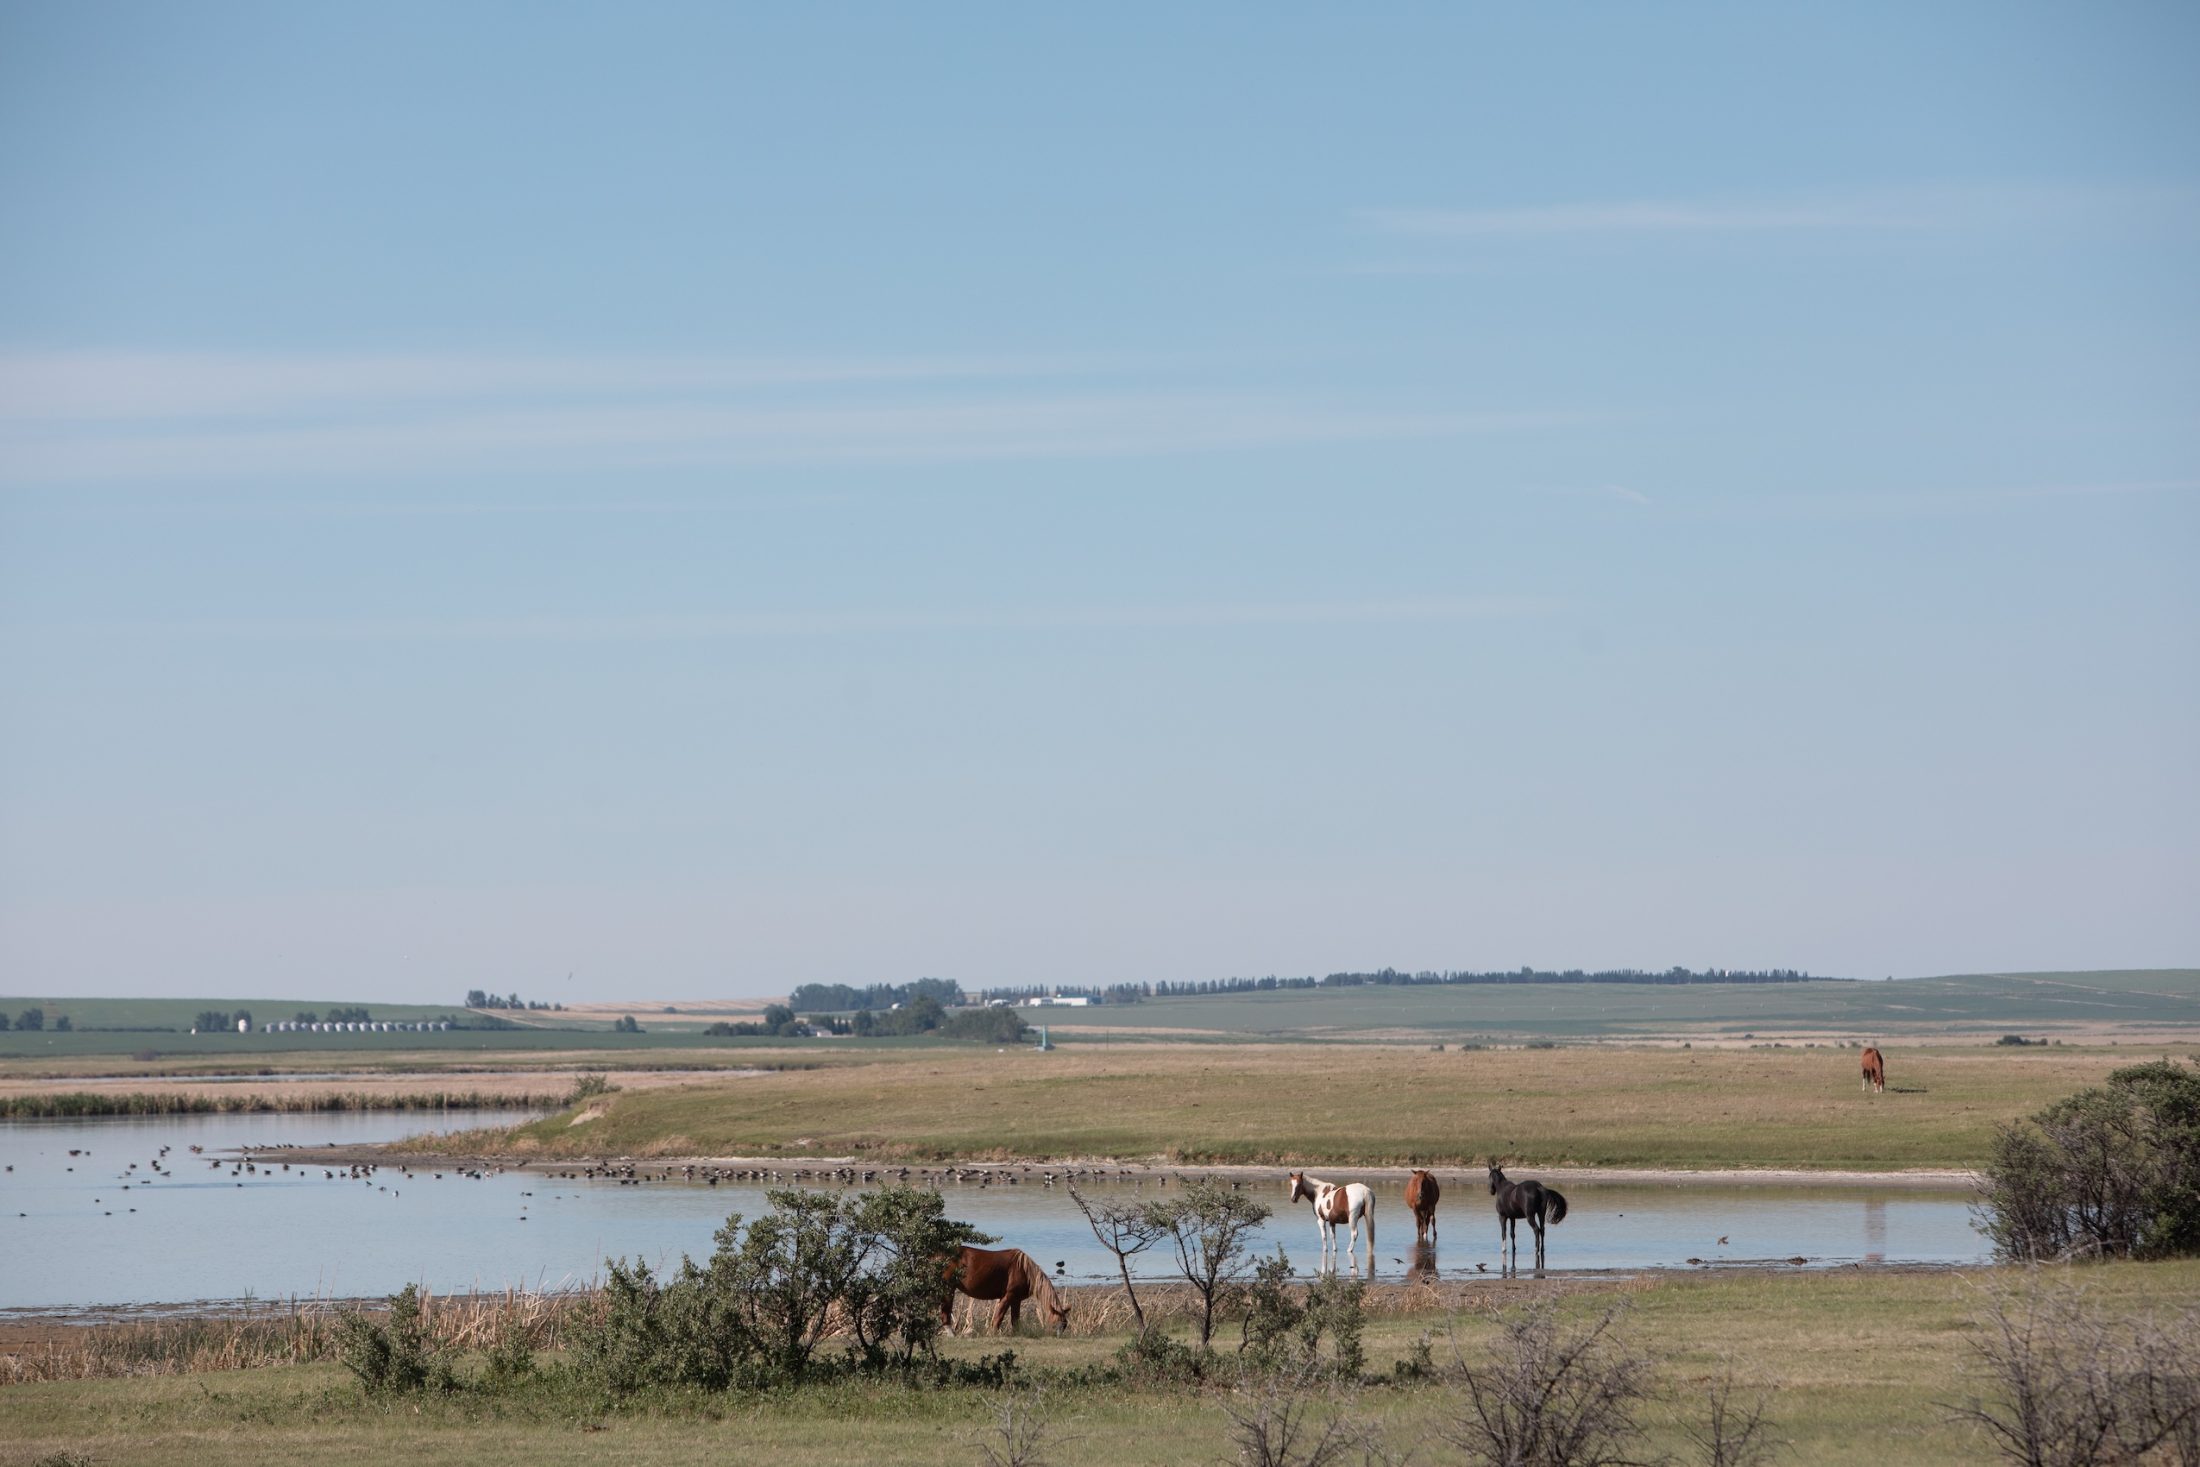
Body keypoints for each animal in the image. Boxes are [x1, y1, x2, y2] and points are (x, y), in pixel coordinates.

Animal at [941, 1245, 1069, 1334]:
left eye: (1064, 1326)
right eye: (1055, 1323)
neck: (1024, 1270)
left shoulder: (1016, 1300)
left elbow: (1015, 1320)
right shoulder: (1008, 1296)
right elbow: (998, 1318)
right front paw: (992, 1334)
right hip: (948, 1288)